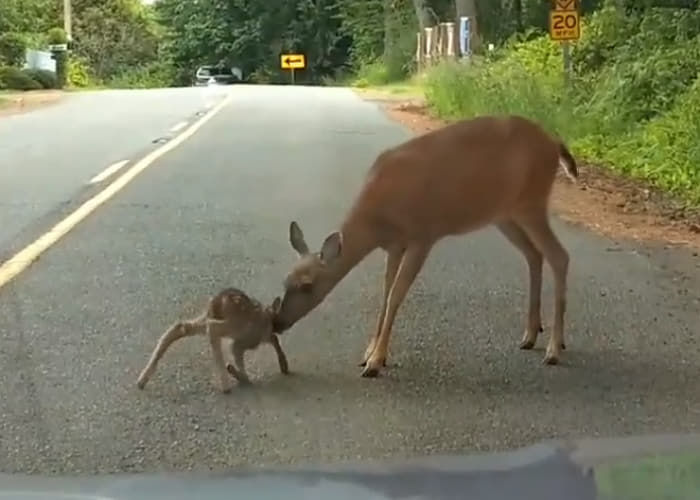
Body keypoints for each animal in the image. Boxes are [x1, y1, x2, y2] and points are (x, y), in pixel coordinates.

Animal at [135, 288, 288, 392]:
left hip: (210, 317)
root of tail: (217, 300)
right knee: (212, 328)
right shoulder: (246, 339)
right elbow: (241, 350)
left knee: (182, 326)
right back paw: (226, 384)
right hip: (231, 323)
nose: (280, 327)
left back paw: (142, 380)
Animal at [270, 114, 576, 378]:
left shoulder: (423, 235)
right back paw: (530, 335)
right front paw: (369, 351)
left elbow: (396, 294)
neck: (378, 219)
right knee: (534, 255)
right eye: (285, 281)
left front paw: (376, 361)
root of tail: (553, 142)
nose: (278, 323)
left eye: (307, 285)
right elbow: (385, 292)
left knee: (559, 256)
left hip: (531, 202)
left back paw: (553, 349)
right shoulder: (394, 245)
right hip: (504, 214)